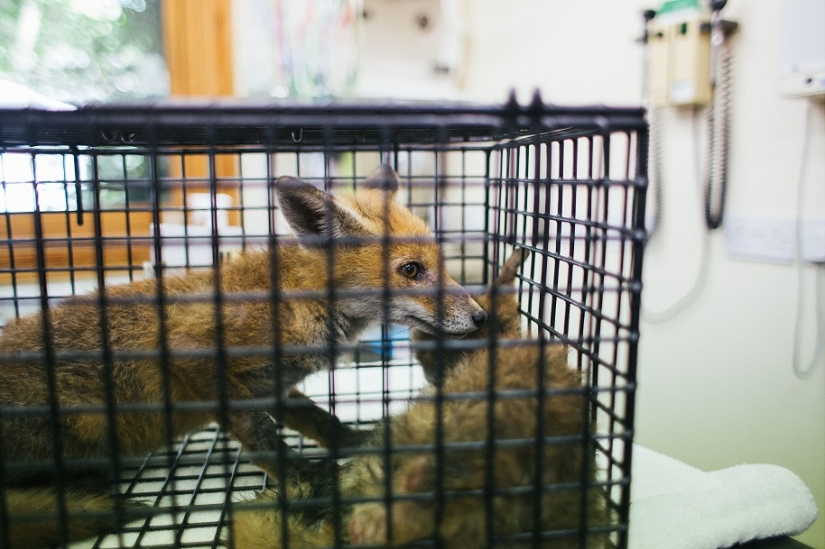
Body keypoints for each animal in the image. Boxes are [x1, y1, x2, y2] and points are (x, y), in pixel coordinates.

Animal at [0, 165, 486, 549]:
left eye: (443, 265)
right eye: (411, 270)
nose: (481, 315)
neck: (298, 300)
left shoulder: (269, 384)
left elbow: (317, 421)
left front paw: (353, 440)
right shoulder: (196, 355)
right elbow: (261, 436)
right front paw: (305, 478)